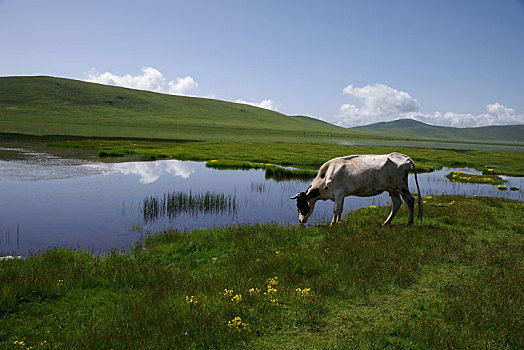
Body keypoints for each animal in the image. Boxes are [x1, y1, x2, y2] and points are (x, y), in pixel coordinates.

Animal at [290, 154, 422, 227]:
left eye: (299, 205)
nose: (300, 220)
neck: (325, 176)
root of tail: (404, 157)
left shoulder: (338, 192)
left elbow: (335, 209)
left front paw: (332, 224)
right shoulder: (341, 195)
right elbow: (340, 209)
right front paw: (338, 223)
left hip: (401, 186)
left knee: (410, 200)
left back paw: (409, 223)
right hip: (392, 189)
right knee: (396, 204)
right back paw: (386, 223)